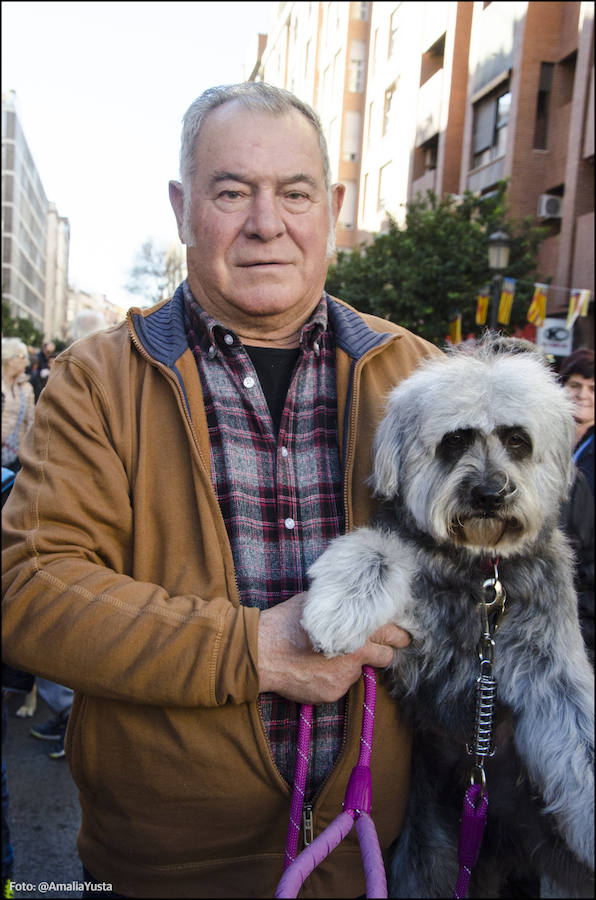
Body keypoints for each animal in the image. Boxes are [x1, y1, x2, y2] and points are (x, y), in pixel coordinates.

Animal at [304, 340, 592, 900]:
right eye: (455, 441)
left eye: (518, 441)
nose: (490, 493)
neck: (481, 574)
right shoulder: (415, 634)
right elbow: (379, 549)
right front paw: (340, 603)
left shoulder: (552, 673)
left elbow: (580, 735)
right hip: (429, 858)